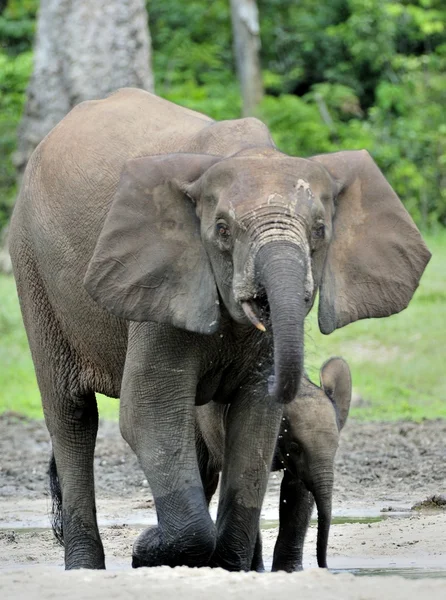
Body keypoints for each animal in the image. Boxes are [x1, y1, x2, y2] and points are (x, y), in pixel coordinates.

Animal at [196, 356, 352, 572]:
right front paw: (259, 571)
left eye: (337, 446)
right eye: (294, 447)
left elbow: (298, 491)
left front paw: (289, 571)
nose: (325, 567)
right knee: (204, 478)